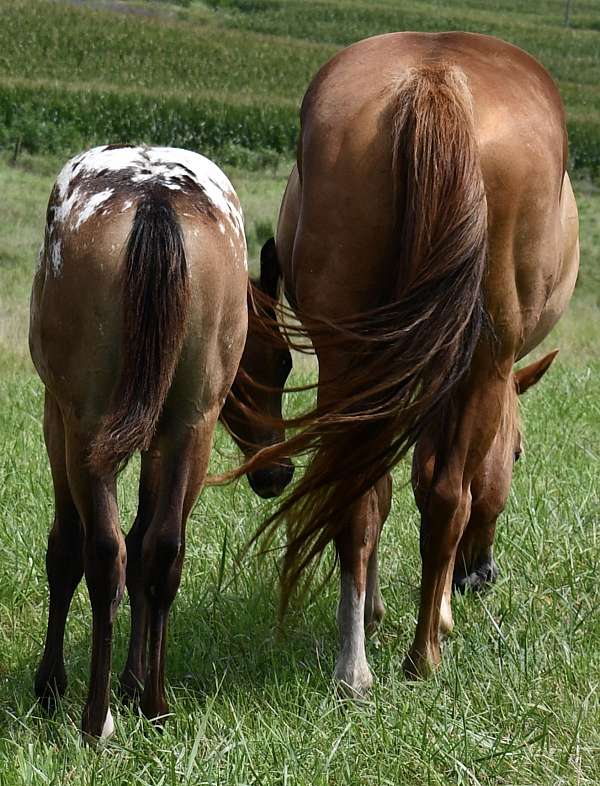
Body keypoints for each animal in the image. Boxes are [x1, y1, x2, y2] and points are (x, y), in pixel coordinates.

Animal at [29, 144, 251, 738]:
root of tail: (155, 197)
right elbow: (149, 541)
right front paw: (134, 681)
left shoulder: (59, 418)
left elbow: (67, 550)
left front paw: (50, 684)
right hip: (191, 426)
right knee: (161, 549)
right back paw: (154, 702)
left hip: (85, 428)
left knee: (104, 551)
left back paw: (95, 718)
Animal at [240, 32, 580, 695]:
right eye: (519, 455)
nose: (482, 576)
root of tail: (435, 80)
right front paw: (442, 607)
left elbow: (391, 488)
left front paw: (374, 609)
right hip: (485, 359)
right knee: (450, 495)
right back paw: (424, 655)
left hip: (347, 353)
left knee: (360, 492)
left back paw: (354, 666)